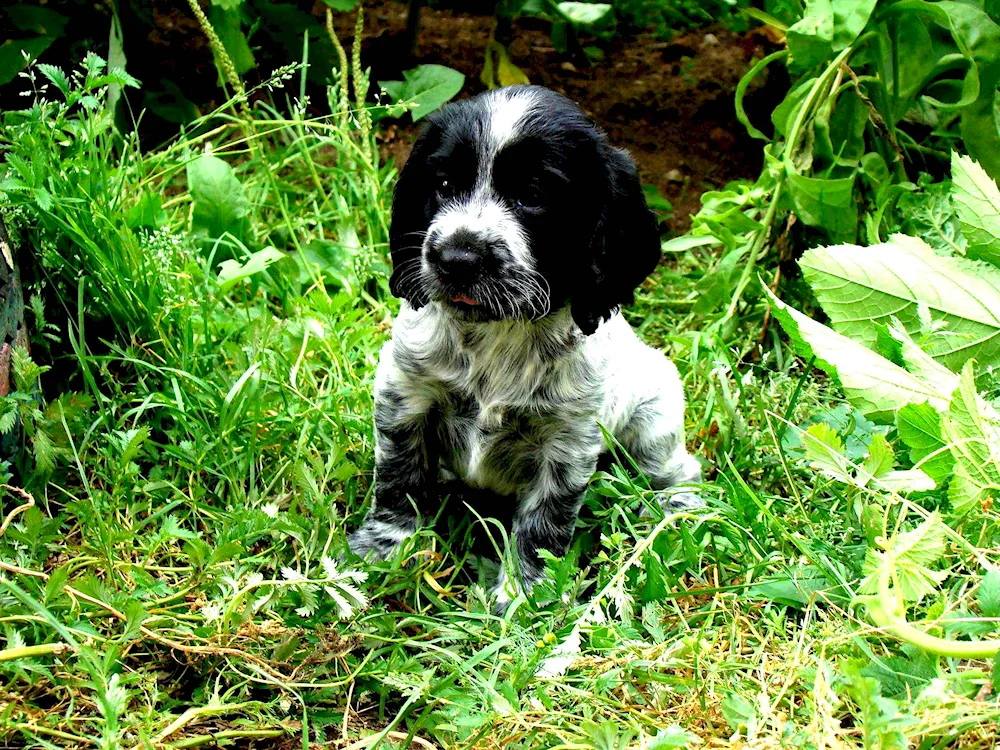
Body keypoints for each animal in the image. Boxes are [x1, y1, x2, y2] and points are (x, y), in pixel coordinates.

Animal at [352, 85, 704, 612]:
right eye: (444, 184)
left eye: (534, 196)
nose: (455, 258)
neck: (499, 333)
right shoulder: (405, 395)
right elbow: (399, 478)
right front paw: (383, 550)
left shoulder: (567, 442)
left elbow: (543, 523)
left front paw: (522, 596)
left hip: (655, 417)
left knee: (676, 468)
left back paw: (678, 508)